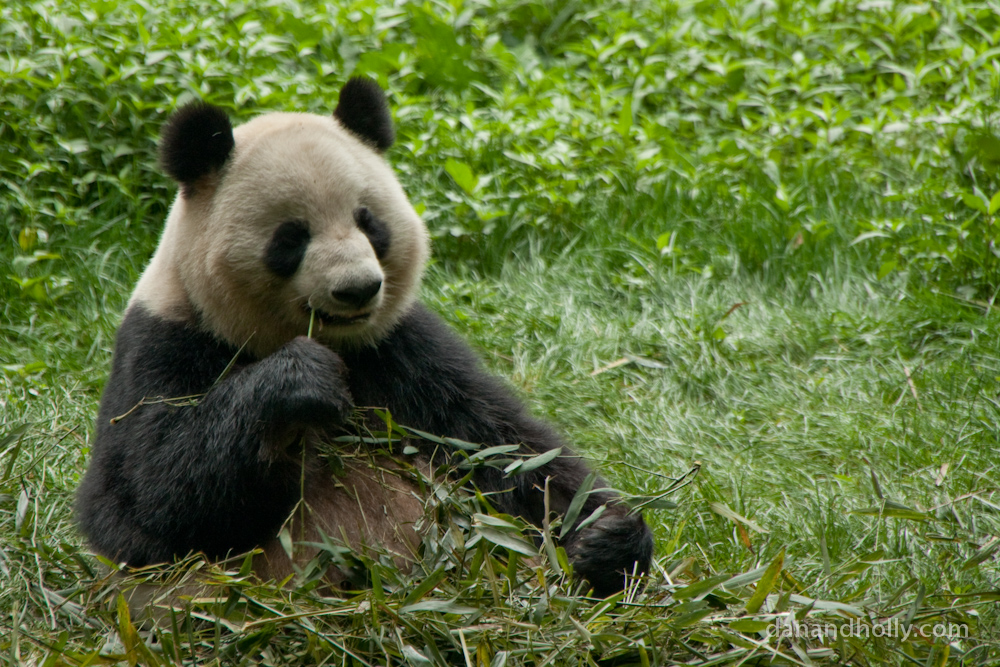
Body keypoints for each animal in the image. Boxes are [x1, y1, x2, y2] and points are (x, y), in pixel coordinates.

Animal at [75, 78, 653, 597]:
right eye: (291, 237)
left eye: (368, 221)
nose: (357, 289)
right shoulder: (165, 343)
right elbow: (143, 502)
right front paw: (300, 383)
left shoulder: (404, 353)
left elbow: (507, 451)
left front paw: (608, 539)